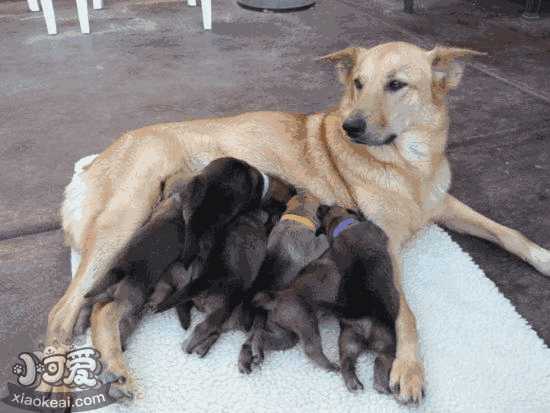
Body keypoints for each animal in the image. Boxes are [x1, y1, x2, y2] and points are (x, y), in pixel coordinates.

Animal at [238, 193, 332, 374]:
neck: (296, 216)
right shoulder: (314, 247)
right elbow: (323, 240)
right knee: (255, 338)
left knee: (249, 341)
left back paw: (246, 361)